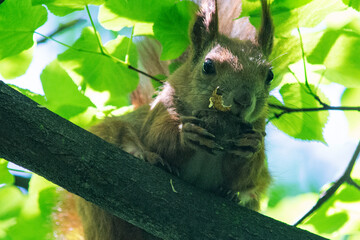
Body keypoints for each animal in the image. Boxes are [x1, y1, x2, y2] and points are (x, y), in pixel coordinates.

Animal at [72, 0, 276, 239]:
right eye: (208, 65)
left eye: (270, 75)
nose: (243, 100)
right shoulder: (163, 107)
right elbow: (156, 137)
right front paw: (186, 135)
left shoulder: (257, 126)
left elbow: (246, 176)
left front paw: (251, 145)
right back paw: (140, 153)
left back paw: (240, 197)